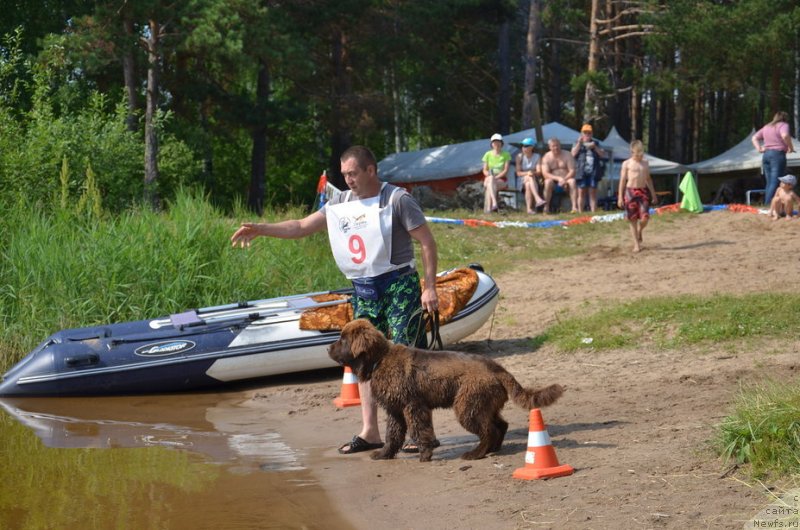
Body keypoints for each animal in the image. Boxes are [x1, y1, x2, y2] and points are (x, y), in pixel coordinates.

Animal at [328, 318, 564, 458]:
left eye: (342, 339)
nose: (328, 348)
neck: (380, 360)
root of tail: (499, 369)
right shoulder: (395, 410)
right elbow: (392, 435)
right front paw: (384, 454)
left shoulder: (413, 407)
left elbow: (419, 430)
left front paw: (425, 454)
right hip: (483, 404)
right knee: (500, 425)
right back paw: (493, 449)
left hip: (467, 406)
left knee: (489, 430)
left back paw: (475, 453)